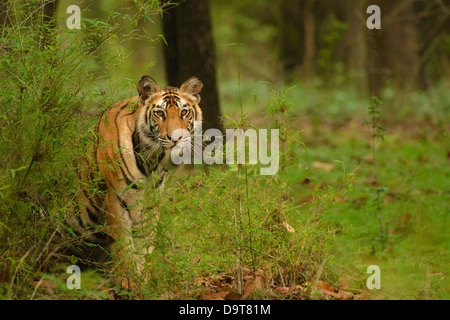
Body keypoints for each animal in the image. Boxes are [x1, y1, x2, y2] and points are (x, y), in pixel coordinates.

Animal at [66, 75, 203, 284]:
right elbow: (123, 244)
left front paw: (143, 278)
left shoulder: (151, 203)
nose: (176, 138)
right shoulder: (114, 199)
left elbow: (145, 243)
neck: (151, 158)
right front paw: (129, 282)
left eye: (184, 112)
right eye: (160, 113)